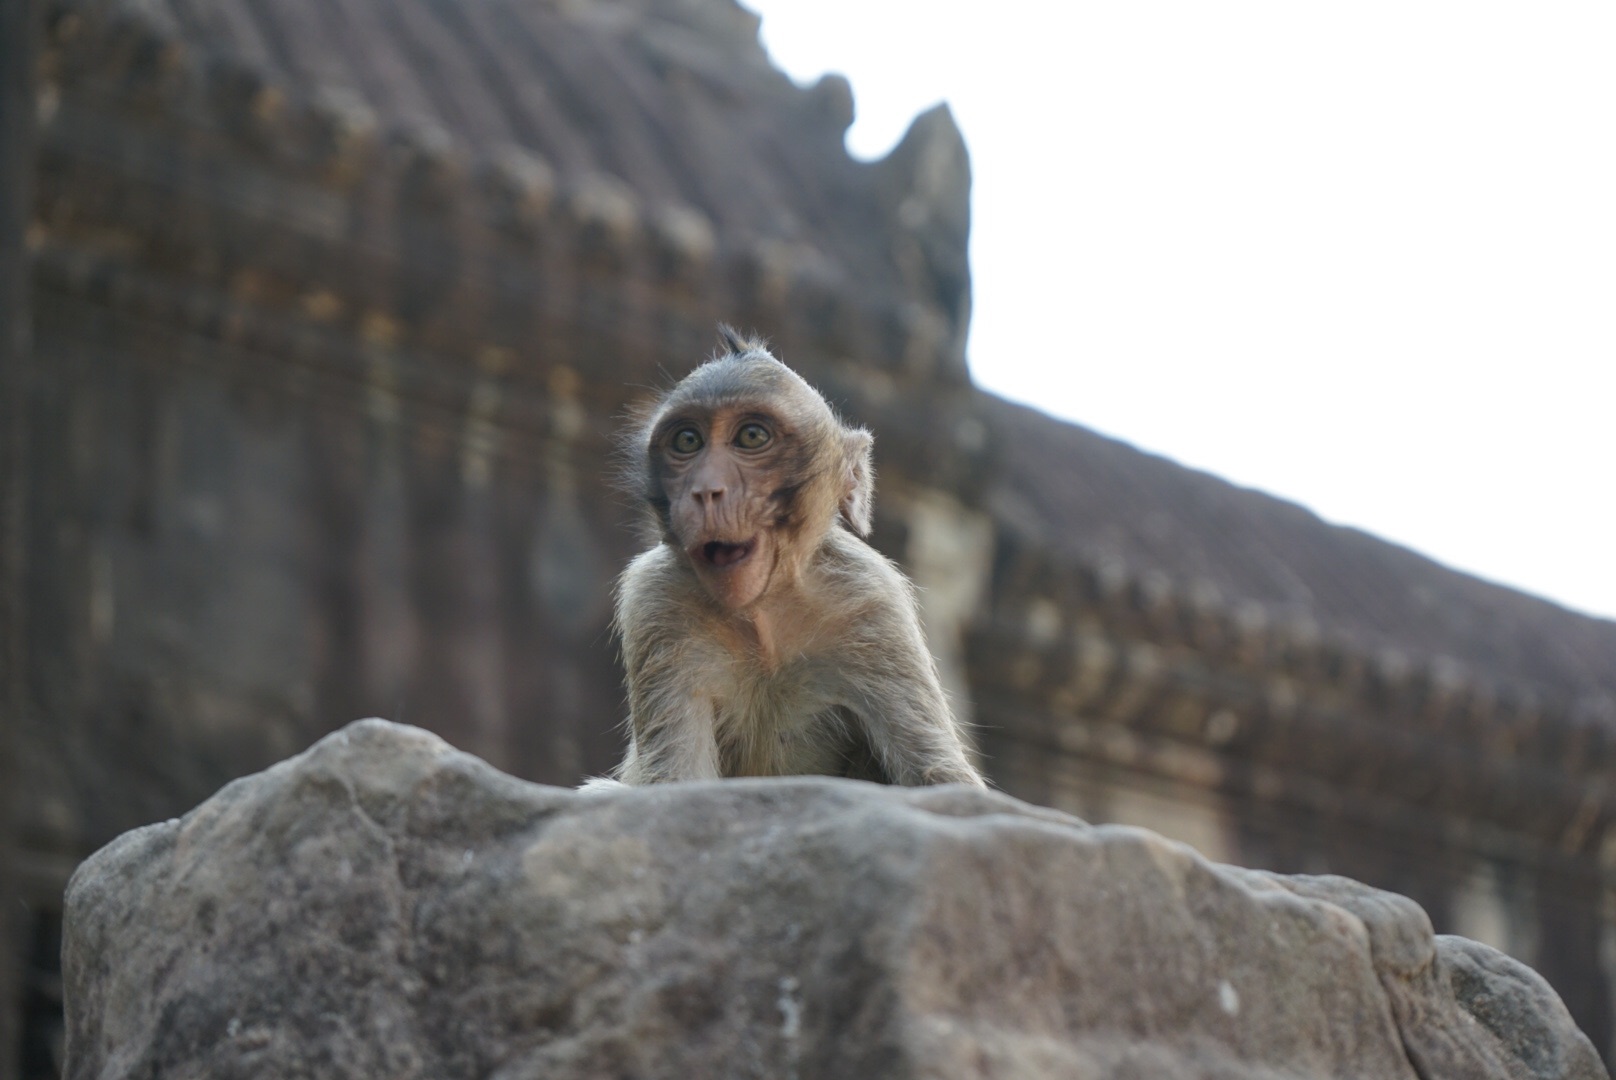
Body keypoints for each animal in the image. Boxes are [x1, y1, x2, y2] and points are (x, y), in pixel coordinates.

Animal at [584, 324, 982, 788]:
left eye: (752, 436)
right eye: (688, 441)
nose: (705, 490)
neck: (764, 613)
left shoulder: (872, 600)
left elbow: (935, 771)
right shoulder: (655, 599)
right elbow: (674, 774)